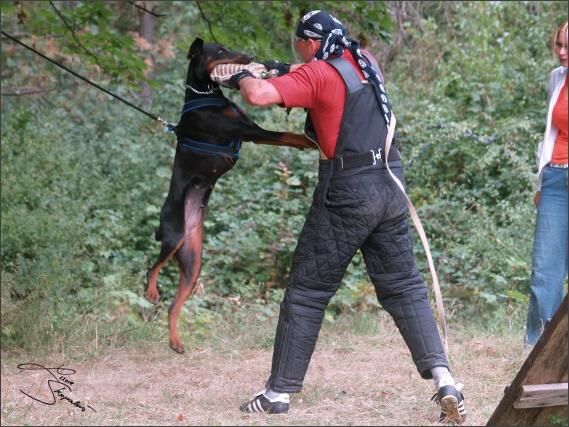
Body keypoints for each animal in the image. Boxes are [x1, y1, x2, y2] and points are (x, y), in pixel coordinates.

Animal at [144, 37, 312, 354]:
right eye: (220, 50)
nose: (250, 55)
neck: (205, 95)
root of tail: (187, 228)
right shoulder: (247, 130)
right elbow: (284, 134)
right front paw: (312, 140)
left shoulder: (251, 131)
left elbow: (286, 136)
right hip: (173, 236)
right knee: (151, 269)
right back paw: (151, 292)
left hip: (192, 263)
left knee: (174, 305)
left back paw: (175, 343)